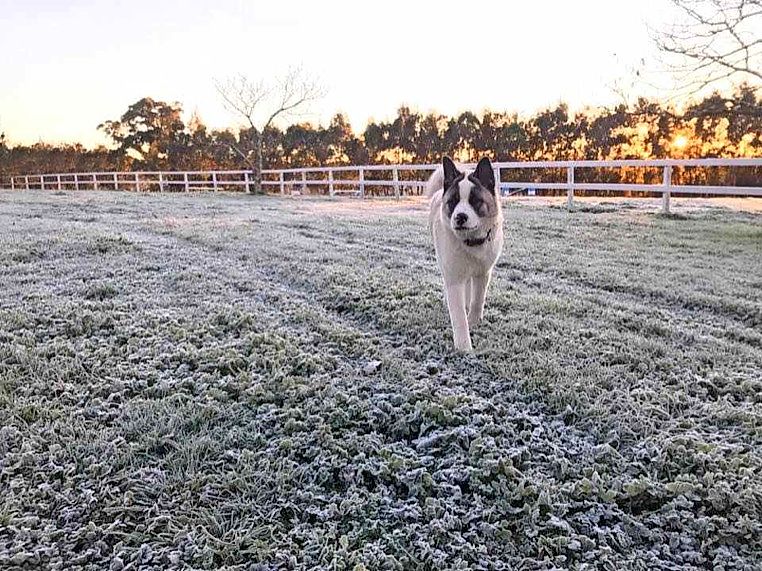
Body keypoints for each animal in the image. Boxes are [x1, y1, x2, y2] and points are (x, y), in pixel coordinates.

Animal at [424, 158, 502, 354]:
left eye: (475, 201)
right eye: (453, 201)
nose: (460, 217)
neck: (471, 243)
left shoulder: (483, 273)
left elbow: (477, 300)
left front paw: (473, 321)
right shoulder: (453, 279)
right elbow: (458, 316)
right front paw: (464, 348)